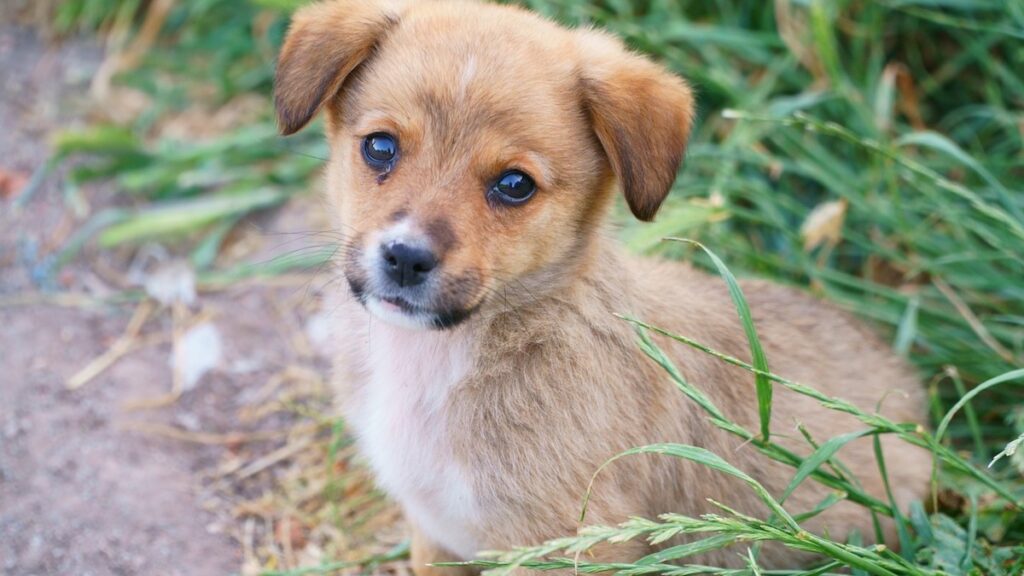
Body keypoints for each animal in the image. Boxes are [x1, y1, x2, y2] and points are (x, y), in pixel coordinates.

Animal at [272, 0, 929, 565]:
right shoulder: (435, 538)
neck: (441, 359)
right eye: (380, 147)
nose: (406, 258)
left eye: (515, 185)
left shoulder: (571, 545)